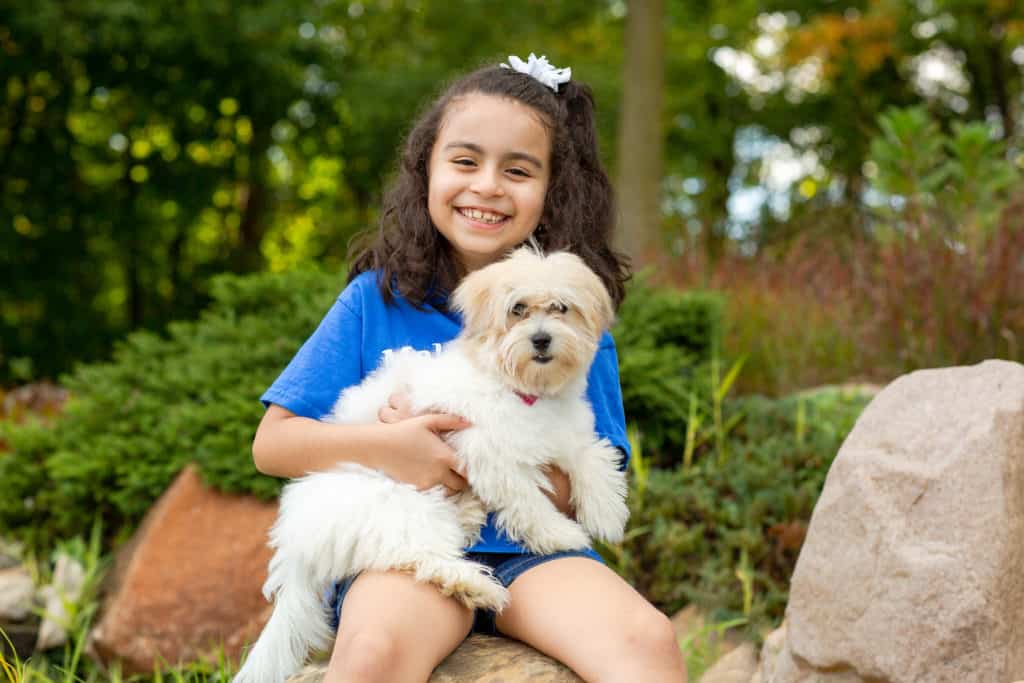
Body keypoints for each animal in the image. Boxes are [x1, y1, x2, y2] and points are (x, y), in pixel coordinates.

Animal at [234, 248, 626, 679]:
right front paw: (560, 533)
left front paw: (606, 511)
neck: (521, 388)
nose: (541, 338)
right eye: (517, 310)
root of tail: (298, 544)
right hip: (399, 503)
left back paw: (470, 519)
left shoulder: (564, 430)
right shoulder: (484, 448)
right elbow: (526, 499)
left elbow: (592, 455)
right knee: (422, 556)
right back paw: (476, 584)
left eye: (561, 308)